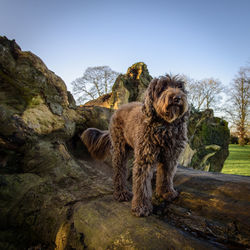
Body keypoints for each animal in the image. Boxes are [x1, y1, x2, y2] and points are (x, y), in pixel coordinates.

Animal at [81, 74, 188, 217]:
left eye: (179, 87)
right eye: (163, 88)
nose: (177, 98)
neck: (166, 125)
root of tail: (119, 109)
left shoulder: (171, 157)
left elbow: (167, 176)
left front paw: (167, 193)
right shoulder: (144, 158)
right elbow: (141, 183)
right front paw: (141, 206)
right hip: (120, 149)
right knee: (119, 172)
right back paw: (121, 193)